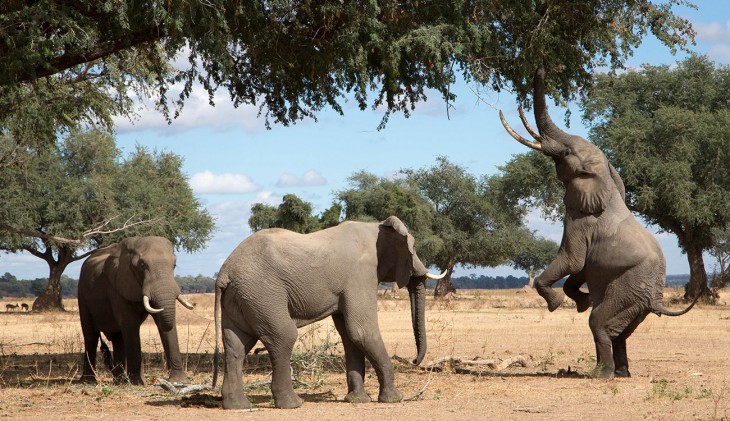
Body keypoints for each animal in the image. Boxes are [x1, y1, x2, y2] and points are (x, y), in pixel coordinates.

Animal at [78, 236, 195, 384]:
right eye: (142, 265)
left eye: (174, 265)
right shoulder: (118, 286)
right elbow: (130, 323)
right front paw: (138, 383)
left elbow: (162, 322)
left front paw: (180, 381)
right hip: (82, 294)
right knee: (91, 335)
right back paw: (89, 381)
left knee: (118, 338)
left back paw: (120, 381)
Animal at [210, 215, 444, 408]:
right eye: (413, 247)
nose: (413, 361)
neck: (375, 226)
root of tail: (224, 272)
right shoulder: (361, 274)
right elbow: (362, 331)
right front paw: (394, 399)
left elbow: (350, 336)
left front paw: (357, 400)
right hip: (263, 293)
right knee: (283, 336)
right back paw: (293, 404)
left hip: (242, 297)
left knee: (237, 345)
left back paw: (238, 406)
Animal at [498, 68, 696, 378]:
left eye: (566, 154)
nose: (540, 68)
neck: (606, 180)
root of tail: (656, 299)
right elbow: (580, 269)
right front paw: (582, 301)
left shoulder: (579, 220)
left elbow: (572, 260)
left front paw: (559, 304)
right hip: (634, 299)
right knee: (621, 333)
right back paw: (621, 373)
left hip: (629, 288)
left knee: (599, 324)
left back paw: (601, 374)